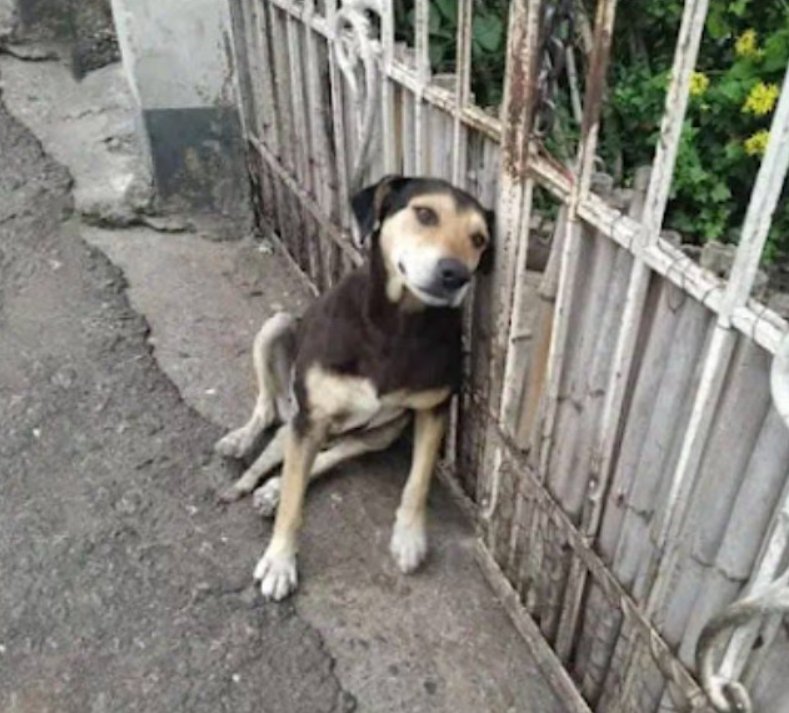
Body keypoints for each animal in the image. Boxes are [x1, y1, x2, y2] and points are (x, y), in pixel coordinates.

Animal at [215, 175, 494, 600]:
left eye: (478, 239)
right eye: (425, 213)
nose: (456, 274)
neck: (398, 326)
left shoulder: (432, 408)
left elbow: (418, 481)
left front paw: (409, 538)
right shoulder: (311, 419)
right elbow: (294, 503)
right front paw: (280, 561)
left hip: (384, 431)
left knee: (323, 452)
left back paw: (269, 489)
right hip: (278, 330)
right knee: (268, 412)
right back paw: (242, 444)